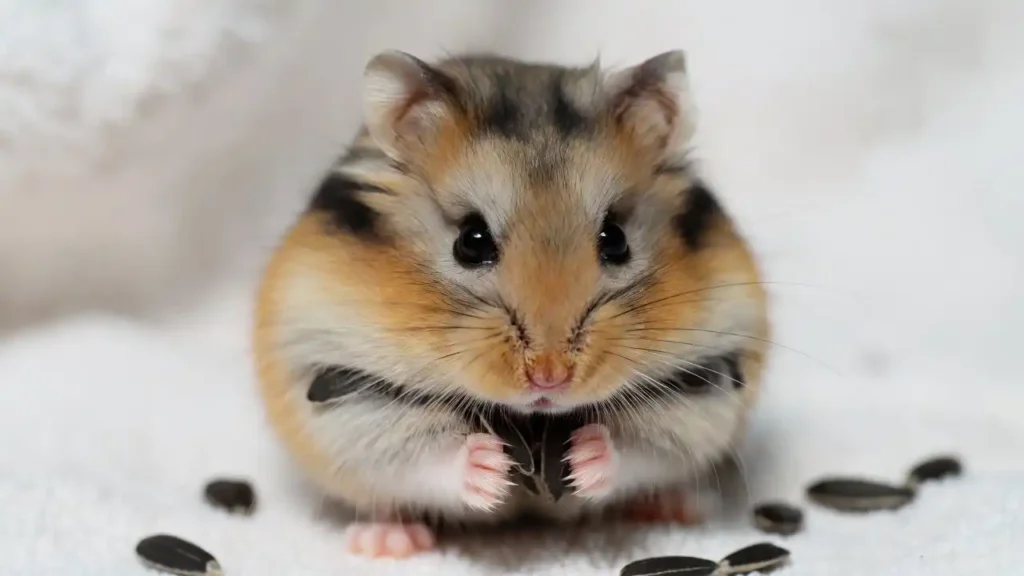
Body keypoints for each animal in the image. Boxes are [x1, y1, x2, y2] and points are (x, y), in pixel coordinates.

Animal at [252, 49, 769, 558]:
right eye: (471, 241)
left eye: (616, 240)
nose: (550, 379)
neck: (536, 421)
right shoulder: (344, 396)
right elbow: (424, 457)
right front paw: (491, 467)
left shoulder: (703, 392)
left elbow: (635, 448)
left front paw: (585, 455)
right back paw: (386, 542)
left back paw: (678, 508)